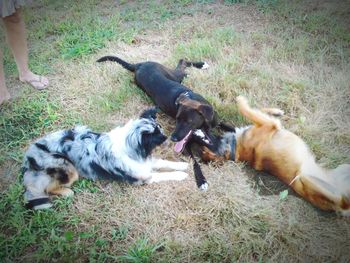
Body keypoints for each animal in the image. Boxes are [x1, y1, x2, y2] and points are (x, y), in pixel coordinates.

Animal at [23, 109, 189, 210]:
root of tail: (28, 159)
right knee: (48, 188)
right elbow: (164, 175)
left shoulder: (146, 162)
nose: (169, 137)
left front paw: (183, 165)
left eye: (160, 128)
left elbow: (164, 162)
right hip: (68, 168)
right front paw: (181, 175)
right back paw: (67, 192)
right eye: (158, 136)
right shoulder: (143, 177)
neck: (131, 148)